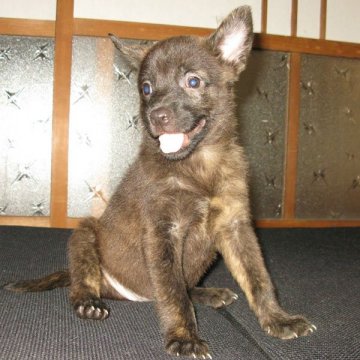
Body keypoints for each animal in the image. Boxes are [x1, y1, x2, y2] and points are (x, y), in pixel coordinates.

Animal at [4, 7, 316, 358]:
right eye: (146, 88)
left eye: (193, 81)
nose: (156, 116)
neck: (198, 167)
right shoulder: (163, 231)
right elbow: (173, 291)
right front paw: (184, 336)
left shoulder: (235, 226)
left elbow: (258, 279)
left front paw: (278, 319)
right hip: (85, 234)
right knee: (84, 278)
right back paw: (87, 301)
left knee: (186, 286)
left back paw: (208, 293)